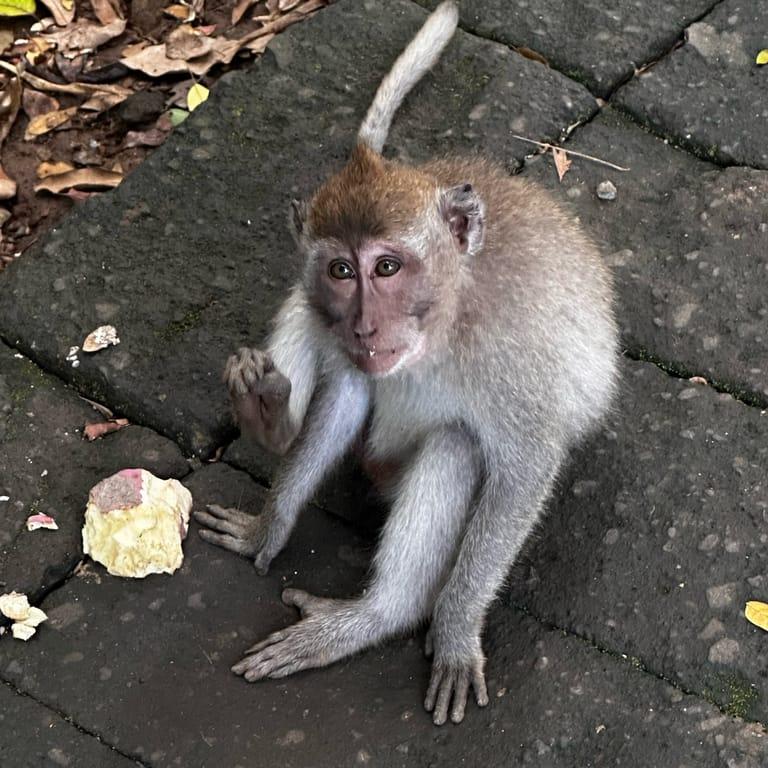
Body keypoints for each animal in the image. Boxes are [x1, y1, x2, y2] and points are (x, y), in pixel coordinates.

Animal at [194, 0, 619, 726]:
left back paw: (381, 616)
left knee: (456, 446)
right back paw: (268, 416)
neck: (445, 321)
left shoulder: (515, 357)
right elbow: (344, 400)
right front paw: (266, 527)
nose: (367, 323)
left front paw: (454, 630)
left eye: (388, 267)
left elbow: (524, 470)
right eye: (342, 270)